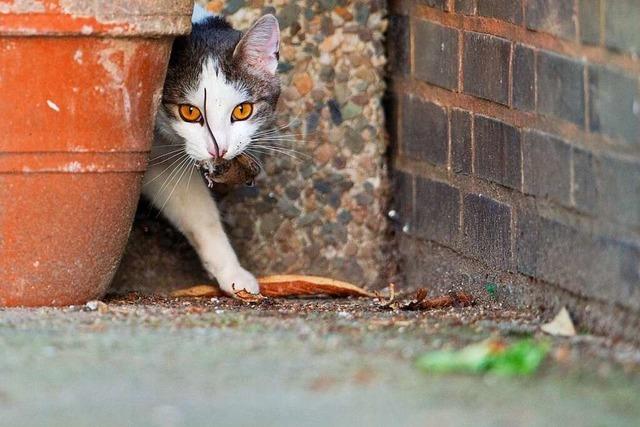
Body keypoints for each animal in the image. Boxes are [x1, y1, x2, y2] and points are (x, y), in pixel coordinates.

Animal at [144, 5, 282, 294]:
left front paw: (231, 272)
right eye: (189, 112)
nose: (218, 149)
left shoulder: (164, 163)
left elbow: (200, 214)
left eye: (242, 110)